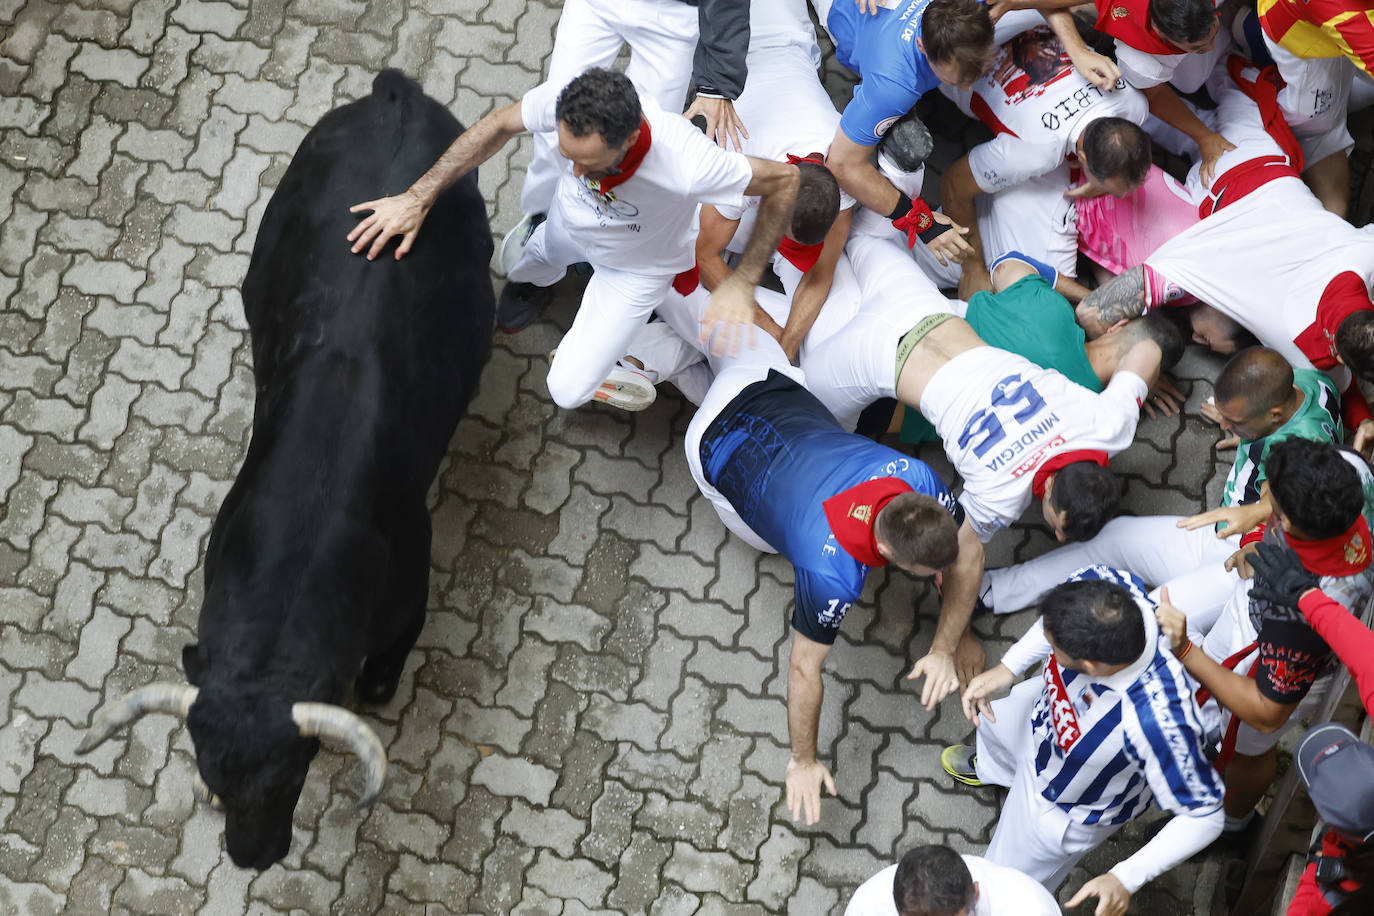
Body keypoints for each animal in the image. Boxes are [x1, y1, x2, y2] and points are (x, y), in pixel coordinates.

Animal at [79, 70, 494, 867]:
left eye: (292, 774)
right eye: (208, 770)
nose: (250, 854)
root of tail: (395, 95)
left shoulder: (406, 606)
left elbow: (382, 680)